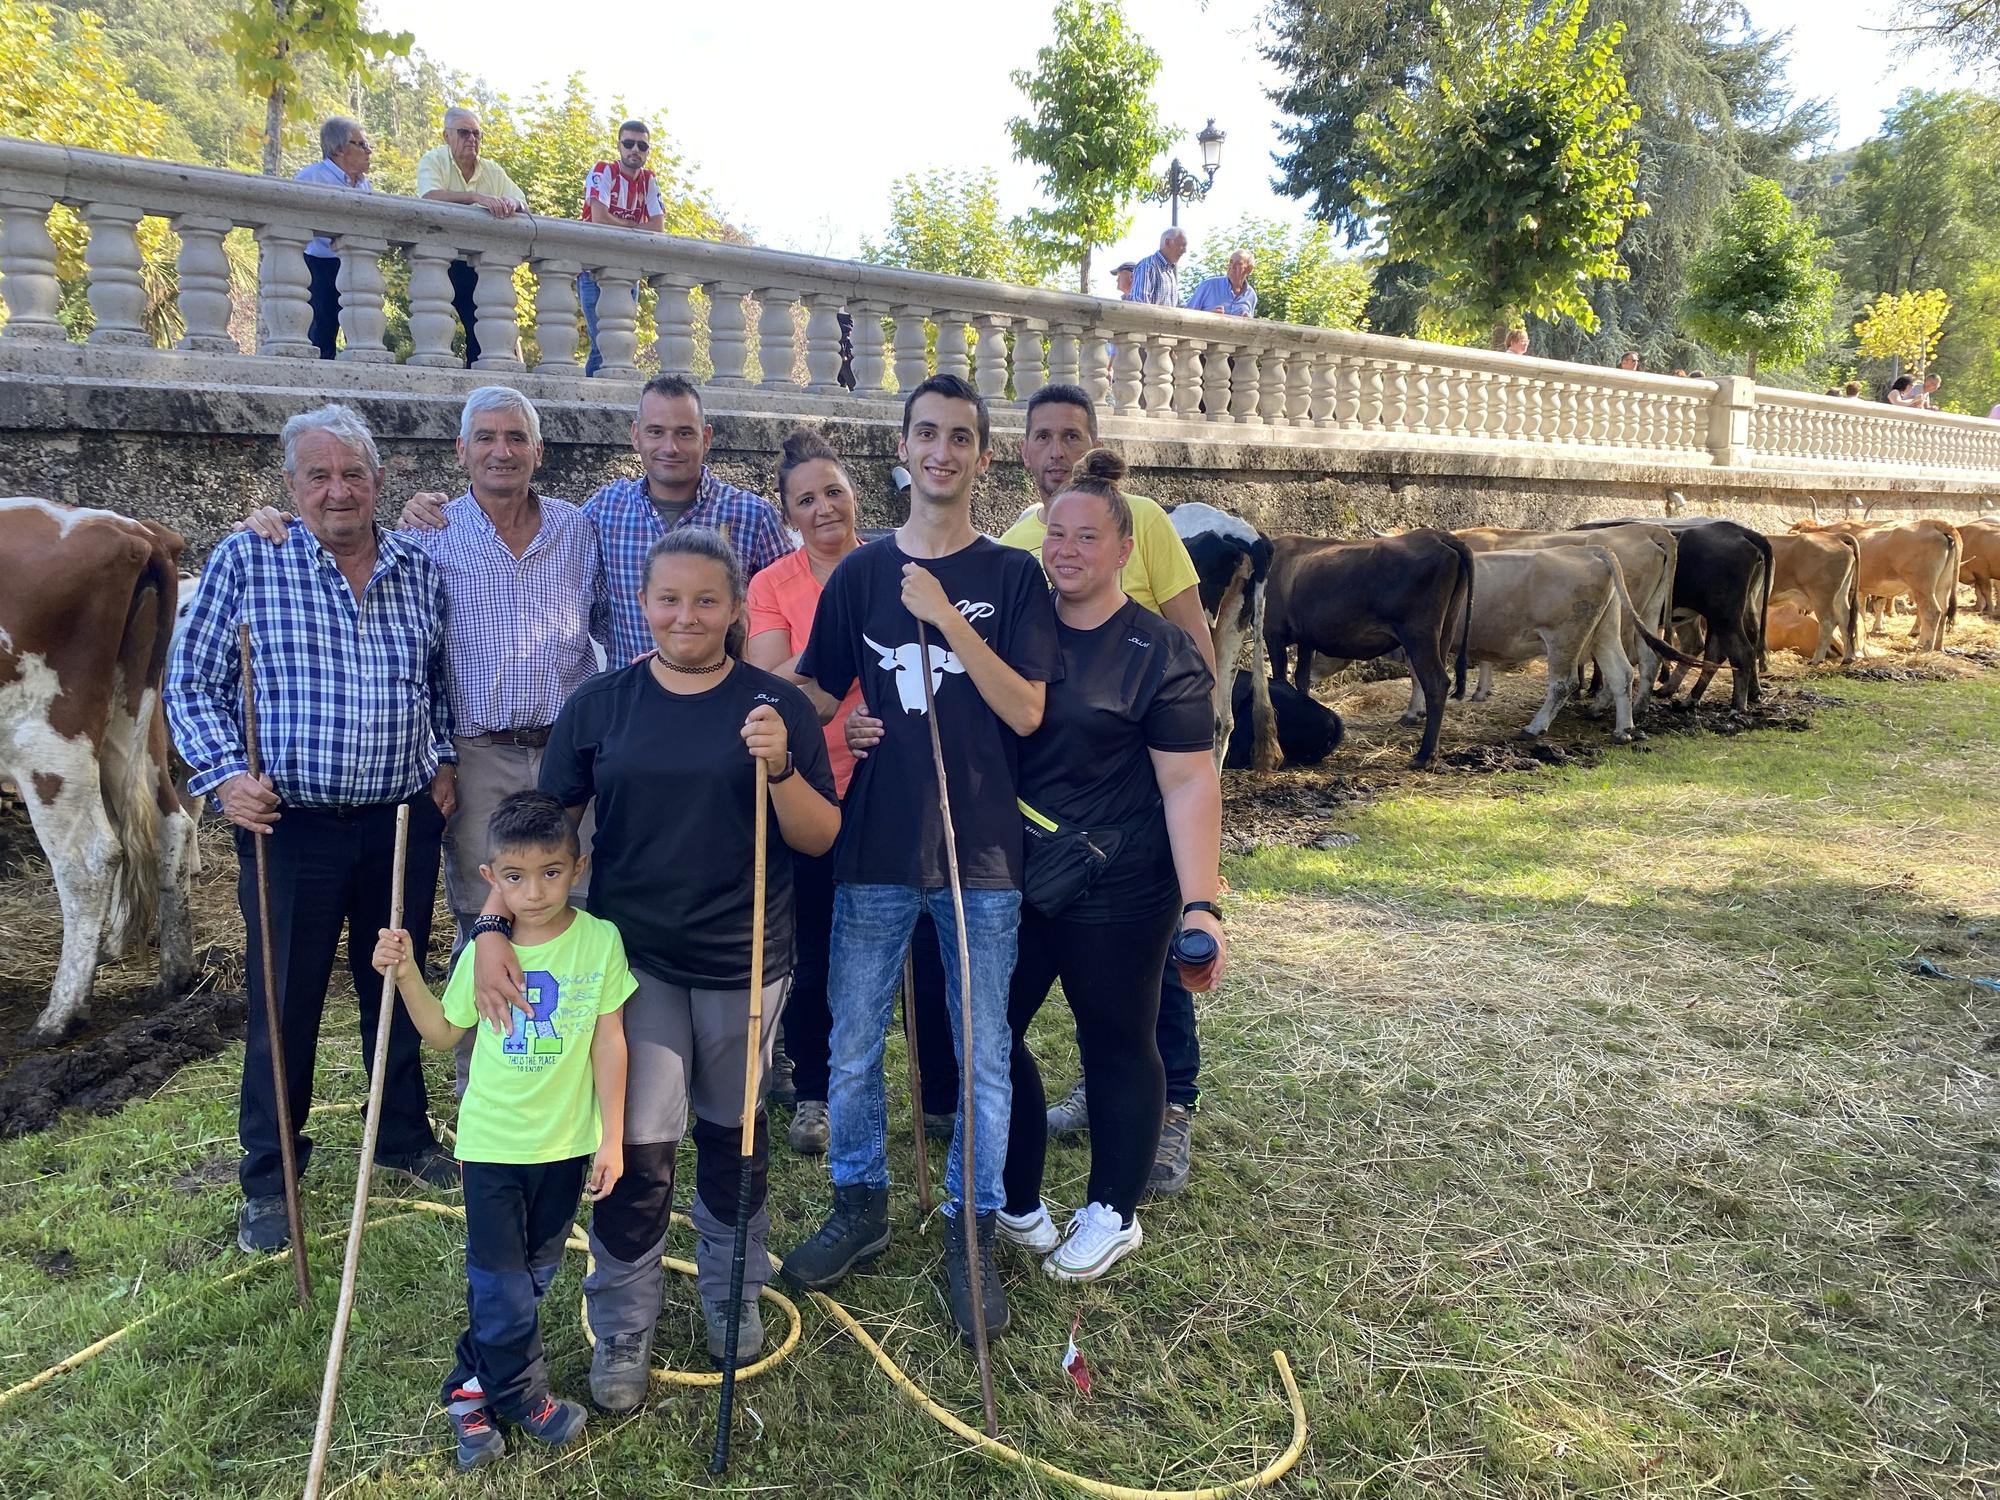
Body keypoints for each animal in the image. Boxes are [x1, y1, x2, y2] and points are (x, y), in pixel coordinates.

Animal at [0, 500, 200, 1040]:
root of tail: (131, 531)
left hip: (48, 740)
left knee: (89, 858)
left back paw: (61, 1012)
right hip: (129, 729)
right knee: (169, 825)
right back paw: (172, 973)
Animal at [1768, 536, 1856, 664]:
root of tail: (1834, 537)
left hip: (1821, 597)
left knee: (1828, 622)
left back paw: (1816, 659)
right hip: (1840, 595)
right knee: (1845, 621)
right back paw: (1848, 658)